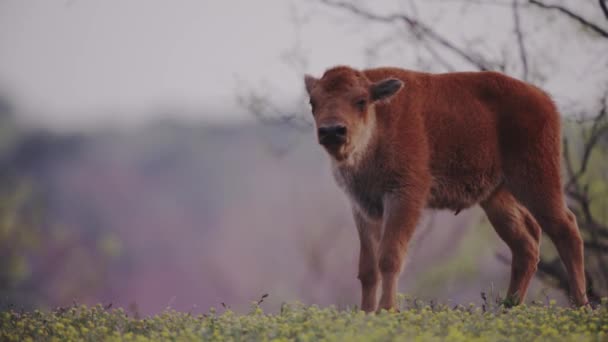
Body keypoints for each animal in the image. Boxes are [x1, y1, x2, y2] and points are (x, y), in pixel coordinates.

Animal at [304, 65, 588, 312]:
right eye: (313, 102)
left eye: (361, 101)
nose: (332, 131)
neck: (379, 122)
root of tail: (544, 99)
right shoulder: (362, 207)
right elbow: (367, 268)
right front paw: (366, 314)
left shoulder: (404, 196)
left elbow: (389, 257)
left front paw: (387, 310)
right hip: (496, 197)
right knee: (526, 243)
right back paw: (508, 308)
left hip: (537, 181)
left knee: (566, 228)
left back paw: (580, 306)